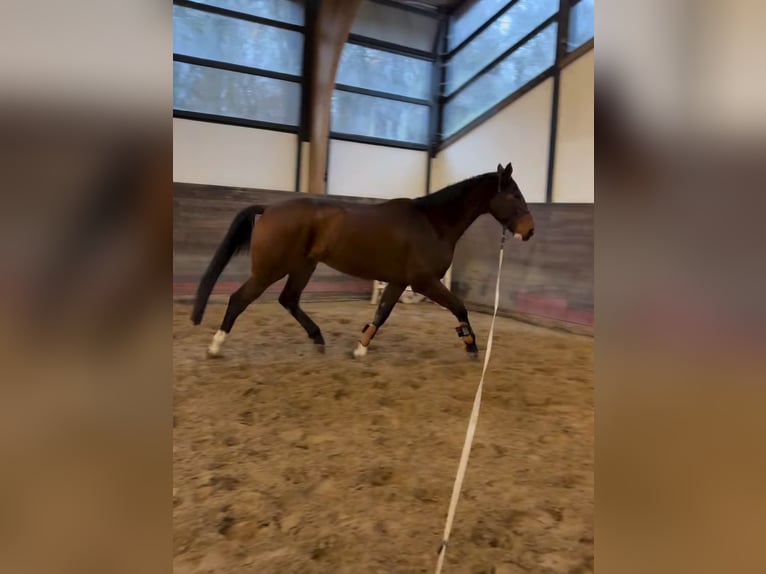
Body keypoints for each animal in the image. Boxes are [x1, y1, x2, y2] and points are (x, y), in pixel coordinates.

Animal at [191, 162, 535, 359]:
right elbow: (459, 307)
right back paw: (215, 346)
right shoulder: (424, 282)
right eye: (515, 195)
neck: (433, 223)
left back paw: (318, 338)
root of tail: (270, 209)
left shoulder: (399, 281)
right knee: (239, 299)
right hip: (270, 269)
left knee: (289, 300)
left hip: (303, 266)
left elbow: (381, 313)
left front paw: (360, 348)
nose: (529, 231)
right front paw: (471, 345)